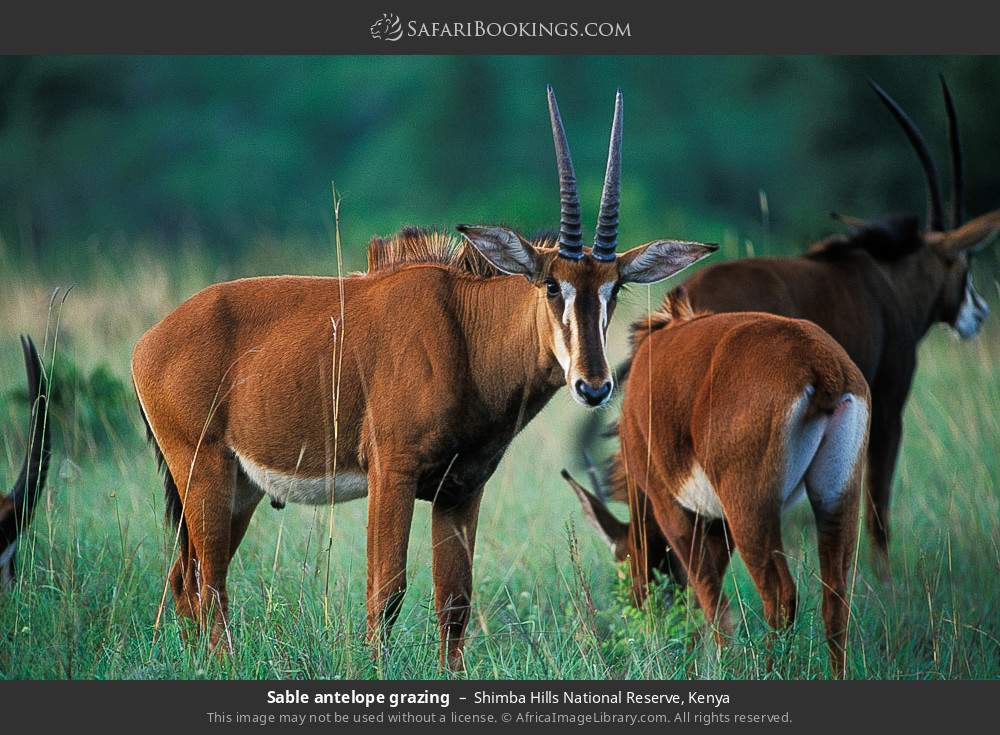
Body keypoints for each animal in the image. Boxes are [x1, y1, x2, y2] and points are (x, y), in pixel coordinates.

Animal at [131, 87, 716, 669]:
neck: (467, 334)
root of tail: (147, 343)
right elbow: (385, 591)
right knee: (209, 580)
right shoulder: (393, 471)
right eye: (552, 285)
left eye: (616, 288)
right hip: (203, 469)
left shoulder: (461, 488)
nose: (593, 387)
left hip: (241, 488)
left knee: (185, 577)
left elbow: (454, 600)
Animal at [564, 288, 870, 676]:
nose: (640, 614)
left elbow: (708, 597)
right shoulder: (717, 523)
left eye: (624, 567)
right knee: (835, 597)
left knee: (780, 595)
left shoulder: (670, 506)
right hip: (836, 496)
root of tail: (820, 362)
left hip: (750, 509)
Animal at [573, 79, 999, 582]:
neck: (888, 277)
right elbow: (878, 504)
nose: (979, 313)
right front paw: (884, 580)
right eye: (964, 262)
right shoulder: (890, 400)